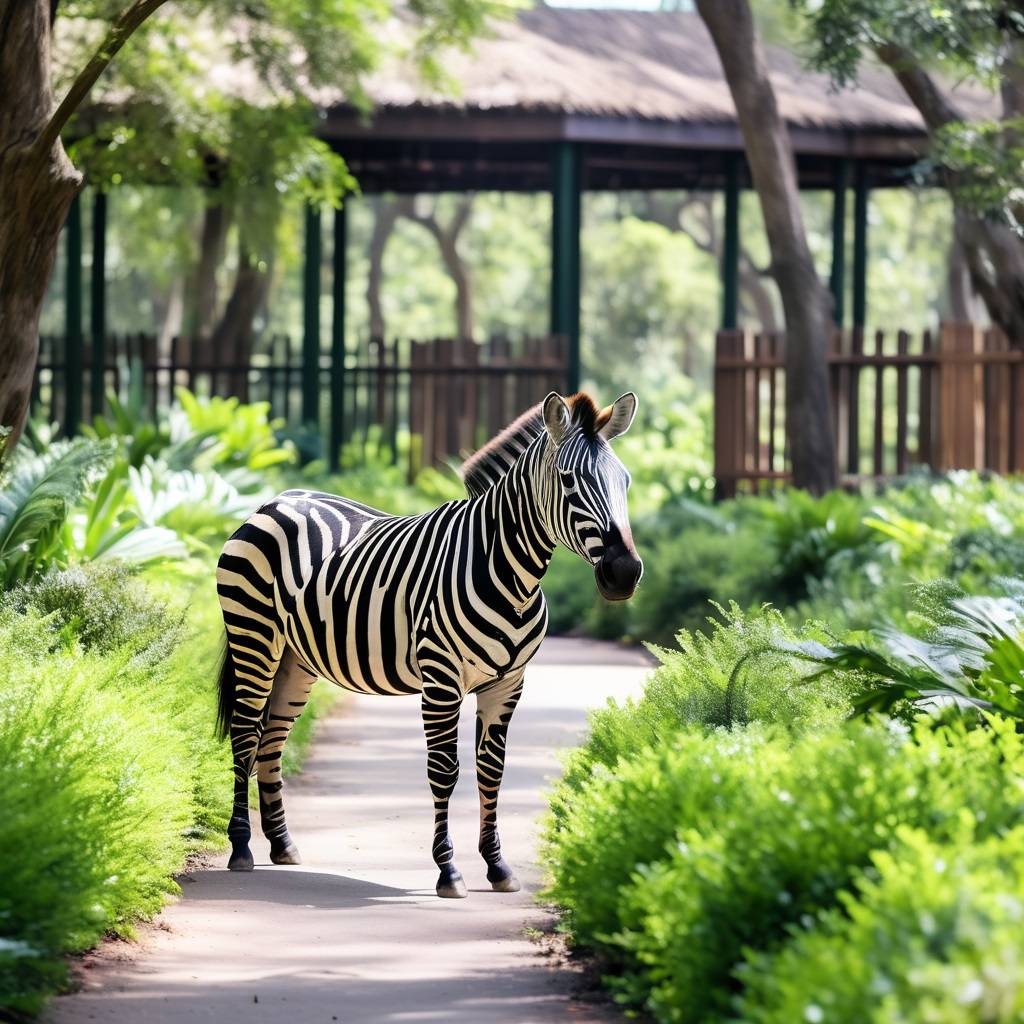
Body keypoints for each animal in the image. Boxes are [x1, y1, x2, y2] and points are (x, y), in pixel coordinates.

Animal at [215, 389, 638, 897]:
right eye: (569, 480)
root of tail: (276, 500)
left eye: (626, 482)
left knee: (272, 739)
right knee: (245, 734)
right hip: (254, 637)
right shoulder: (441, 681)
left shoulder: (508, 684)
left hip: (296, 659)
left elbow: (491, 770)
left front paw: (497, 866)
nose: (625, 573)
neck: (508, 572)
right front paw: (449, 871)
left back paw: (282, 845)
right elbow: (445, 771)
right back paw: (242, 848)